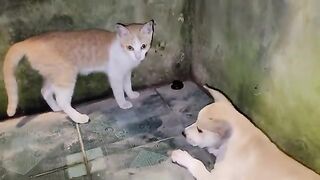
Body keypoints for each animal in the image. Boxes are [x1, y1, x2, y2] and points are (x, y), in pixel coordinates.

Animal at [2, 20, 155, 123]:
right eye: (130, 47)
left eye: (143, 46)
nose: (138, 56)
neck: (121, 49)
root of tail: (28, 41)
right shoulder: (115, 74)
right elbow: (118, 92)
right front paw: (123, 103)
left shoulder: (126, 72)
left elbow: (127, 85)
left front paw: (131, 94)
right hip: (66, 75)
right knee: (62, 100)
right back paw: (78, 117)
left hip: (55, 75)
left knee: (45, 91)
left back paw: (56, 108)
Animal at [171, 85, 318, 180]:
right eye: (196, 121)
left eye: (200, 130)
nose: (183, 133)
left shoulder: (216, 177)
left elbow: (198, 164)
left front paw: (181, 156)